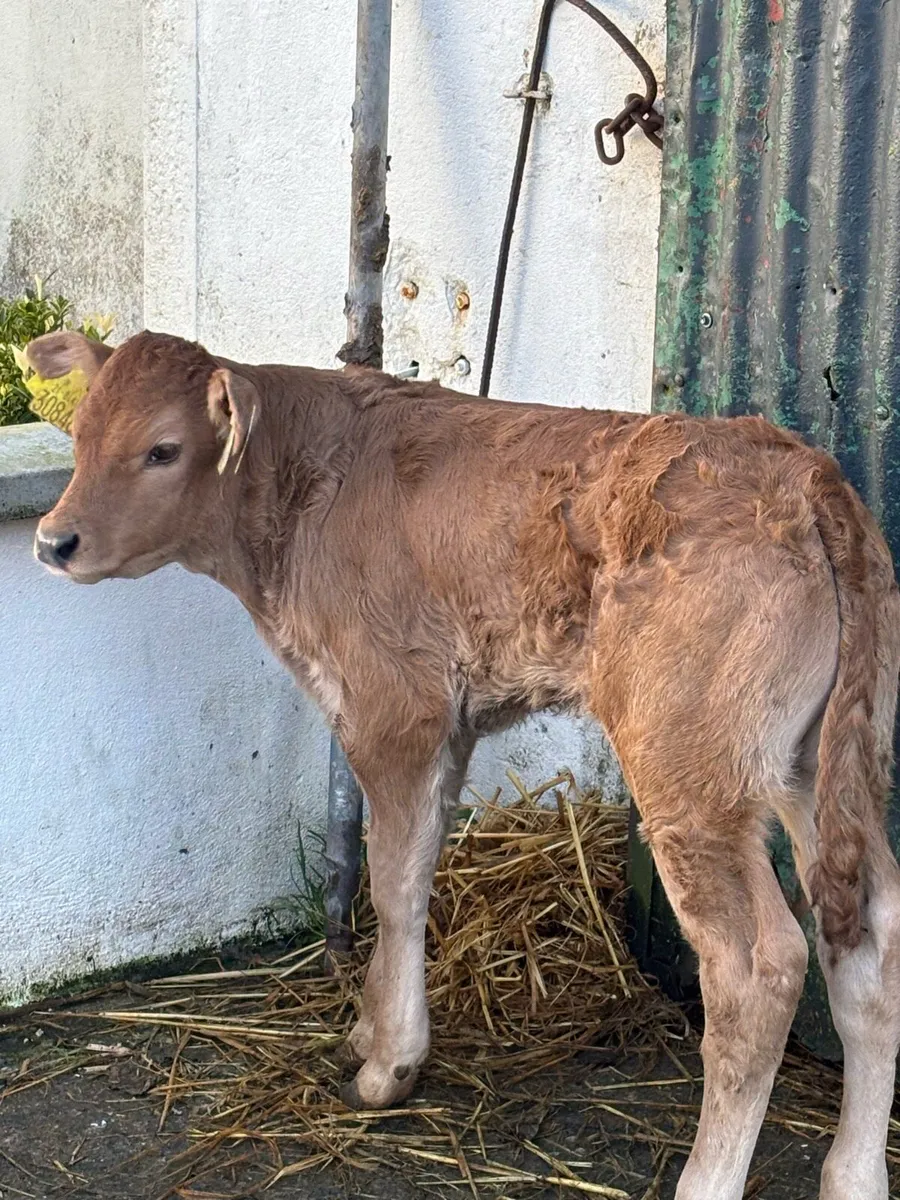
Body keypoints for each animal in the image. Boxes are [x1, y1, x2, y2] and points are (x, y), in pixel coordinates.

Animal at [27, 327, 900, 1200]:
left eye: (162, 449)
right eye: (79, 437)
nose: (52, 540)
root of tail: (805, 473)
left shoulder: (393, 708)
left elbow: (393, 884)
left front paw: (389, 1064)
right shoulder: (451, 724)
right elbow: (415, 867)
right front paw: (368, 1030)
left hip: (689, 764)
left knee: (759, 966)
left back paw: (708, 1177)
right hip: (818, 761)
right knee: (871, 934)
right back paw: (853, 1175)